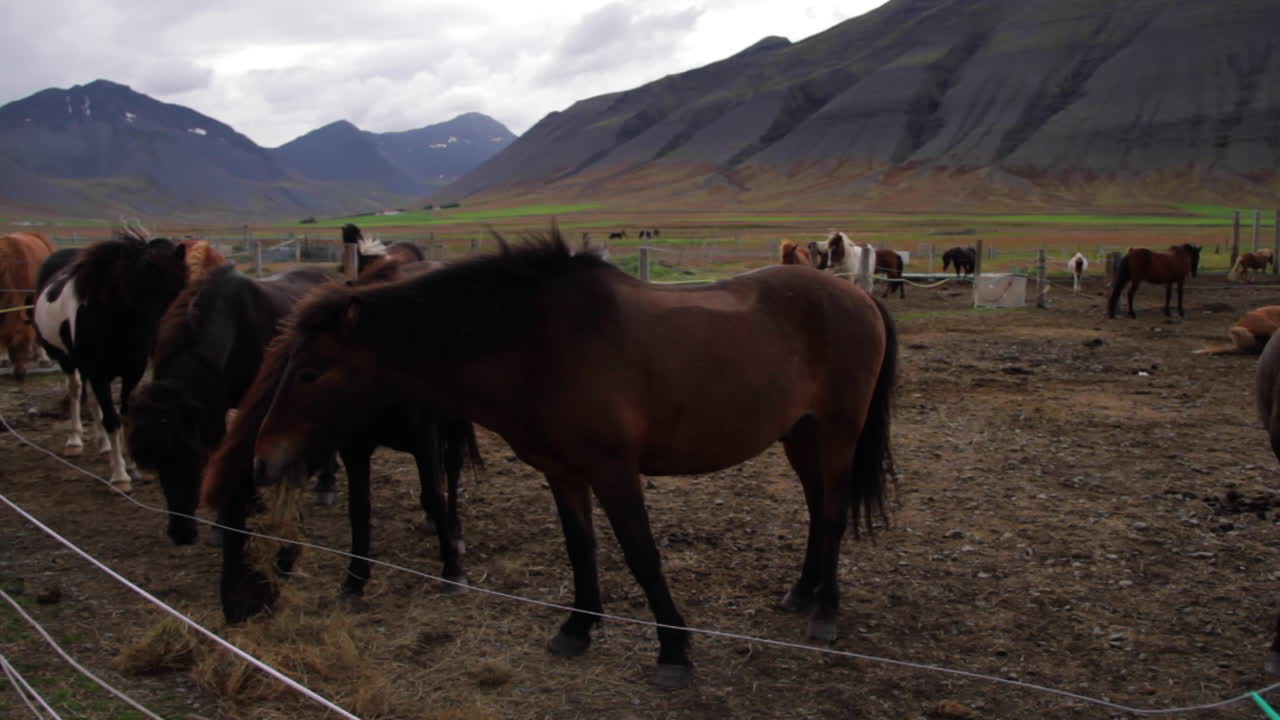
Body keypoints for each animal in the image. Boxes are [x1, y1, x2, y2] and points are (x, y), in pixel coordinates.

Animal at [32, 226, 224, 490]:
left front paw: (132, 466)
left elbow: (124, 415)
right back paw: (75, 440)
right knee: (75, 391)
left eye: (181, 288)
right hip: (67, 360)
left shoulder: (132, 371)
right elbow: (112, 420)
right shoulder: (99, 373)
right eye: (144, 291)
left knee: (93, 401)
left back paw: (102, 445)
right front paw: (120, 476)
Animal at [126, 263, 337, 545]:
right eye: (155, 463)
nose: (181, 533)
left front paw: (224, 523)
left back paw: (327, 484)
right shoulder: (213, 408)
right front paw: (249, 504)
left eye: (192, 457)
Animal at [202, 258, 481, 617]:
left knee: (452, 468)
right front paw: (354, 582)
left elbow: (435, 492)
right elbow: (359, 509)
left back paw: (454, 529)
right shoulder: (354, 448)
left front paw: (452, 570)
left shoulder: (424, 440)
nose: (233, 610)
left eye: (251, 528)